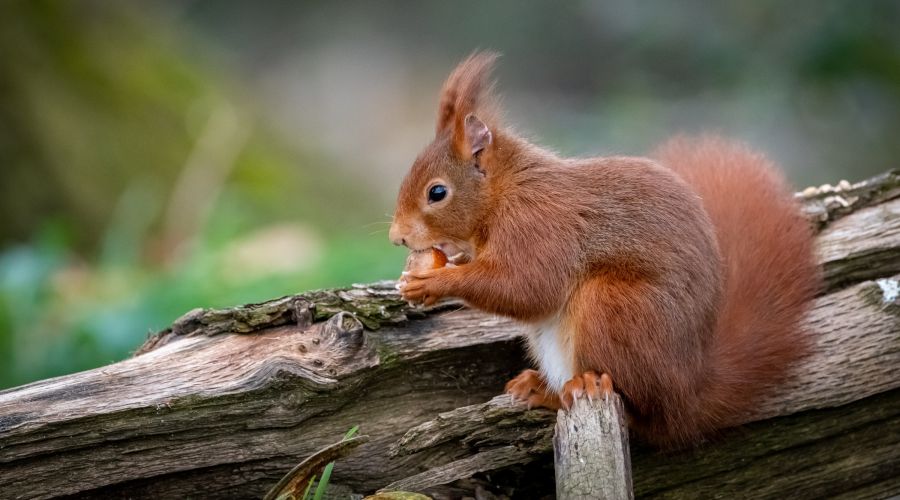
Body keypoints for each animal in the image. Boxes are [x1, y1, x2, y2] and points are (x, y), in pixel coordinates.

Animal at [390, 51, 820, 450]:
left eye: (437, 192)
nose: (397, 237)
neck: (503, 192)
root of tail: (689, 396)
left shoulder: (541, 226)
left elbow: (528, 287)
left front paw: (435, 281)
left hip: (613, 306)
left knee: (643, 416)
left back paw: (591, 386)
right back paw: (541, 388)